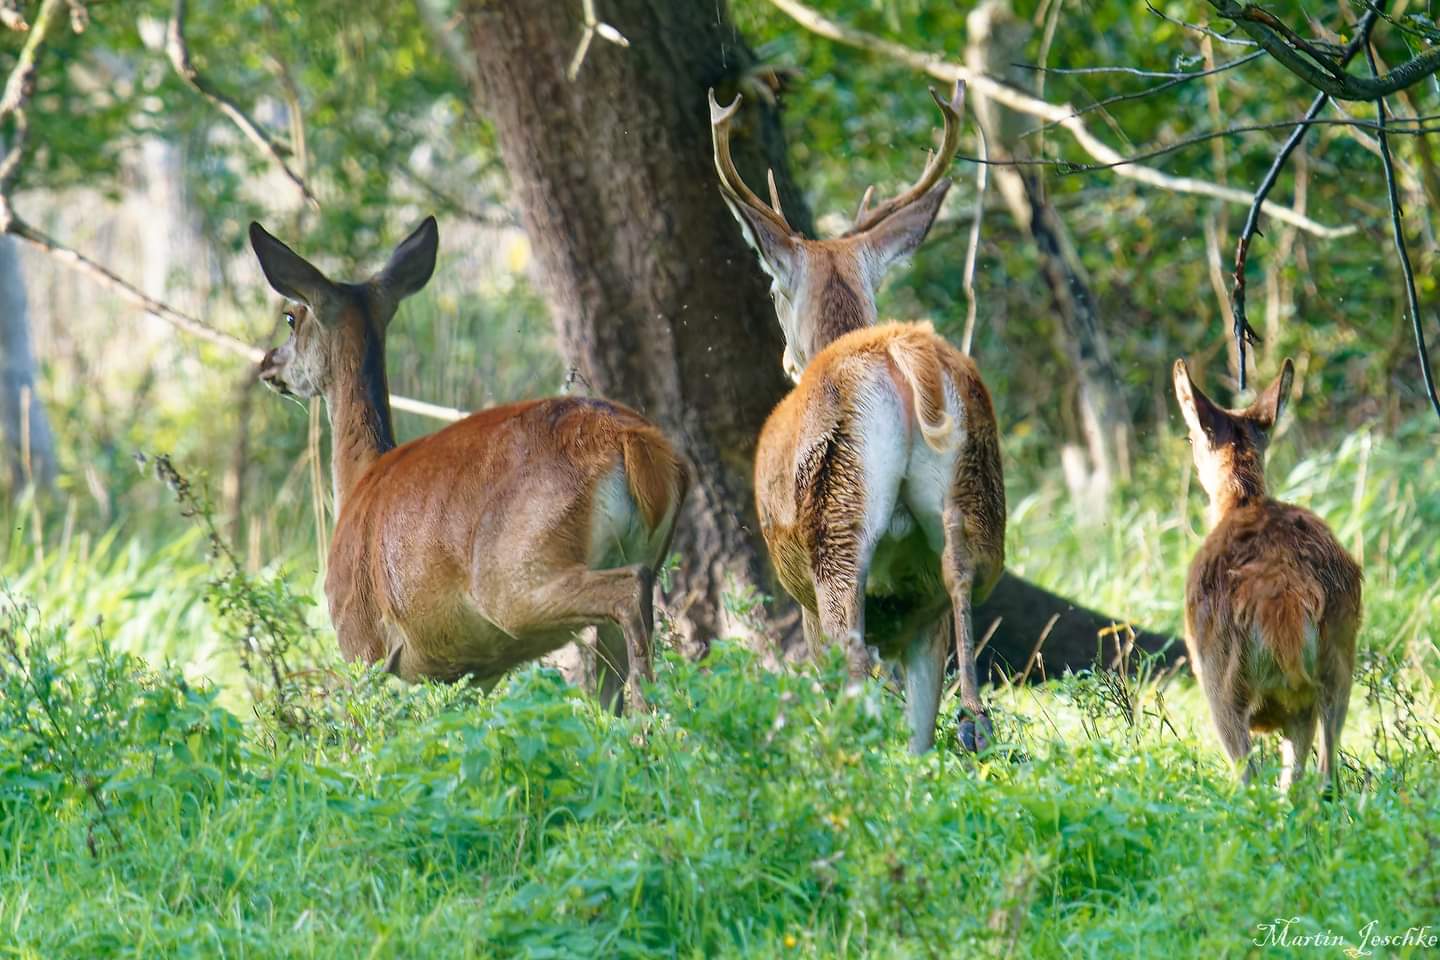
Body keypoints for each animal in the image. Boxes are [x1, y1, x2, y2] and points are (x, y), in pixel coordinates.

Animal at [252, 220, 685, 713]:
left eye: (292, 317)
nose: (267, 362)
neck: (359, 479)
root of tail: (635, 442)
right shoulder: (477, 668)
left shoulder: (360, 642)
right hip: (639, 552)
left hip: (516, 578)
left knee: (629, 594)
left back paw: (649, 719)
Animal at [714, 82, 1008, 754]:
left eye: (775, 291)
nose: (786, 359)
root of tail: (901, 354)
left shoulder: (797, 592)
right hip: (968, 500)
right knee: (956, 583)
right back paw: (973, 720)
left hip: (836, 516)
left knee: (850, 654)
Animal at [1169, 356, 1359, 794]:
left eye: (1189, 438)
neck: (1240, 502)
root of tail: (1284, 594)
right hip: (1336, 661)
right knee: (1321, 777)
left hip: (1220, 679)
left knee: (1249, 780)